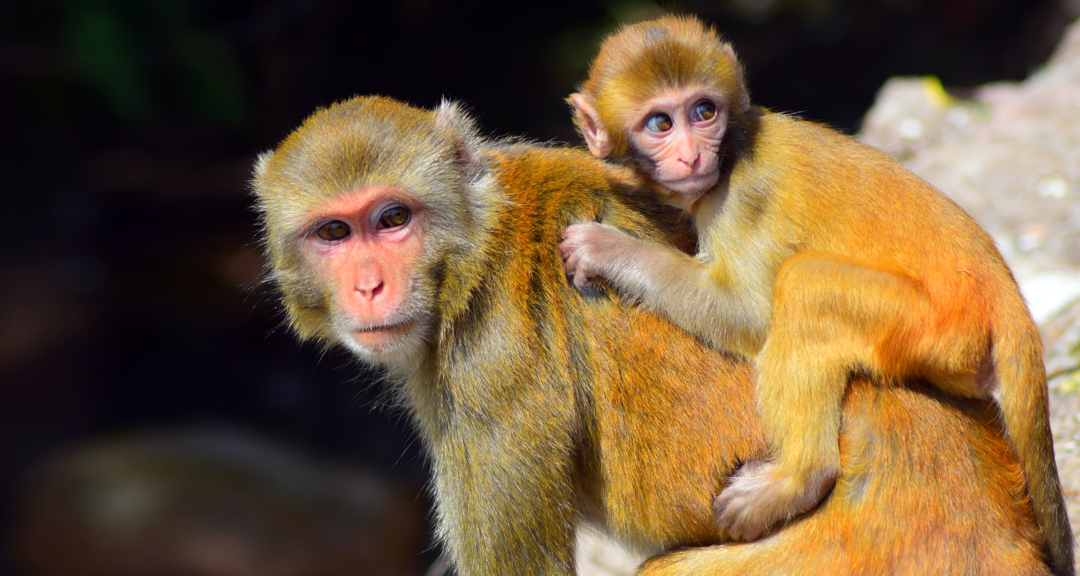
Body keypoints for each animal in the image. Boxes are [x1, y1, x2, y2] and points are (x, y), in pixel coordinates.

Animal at [557, 14, 1071, 574]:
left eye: (703, 111)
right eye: (660, 124)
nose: (691, 155)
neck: (733, 150)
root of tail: (1004, 292)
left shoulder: (742, 197)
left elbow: (749, 316)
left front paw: (609, 250)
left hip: (939, 327)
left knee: (804, 285)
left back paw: (798, 479)